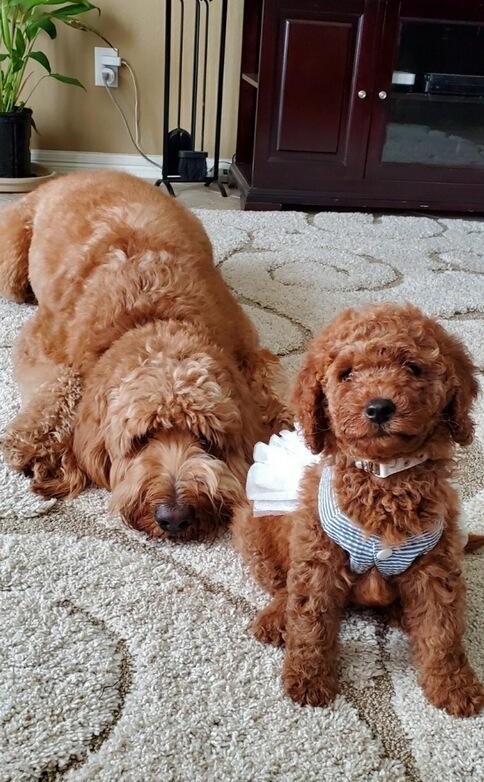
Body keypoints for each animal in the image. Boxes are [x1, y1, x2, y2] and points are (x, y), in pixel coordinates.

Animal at [0, 171, 292, 540]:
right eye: (142, 439)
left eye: (207, 439)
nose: (175, 517)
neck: (156, 314)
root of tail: (69, 176)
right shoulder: (40, 340)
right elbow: (62, 382)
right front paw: (40, 445)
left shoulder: (249, 348)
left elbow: (271, 386)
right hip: (11, 267)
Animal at [233, 304, 482, 720]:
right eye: (346, 374)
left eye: (413, 367)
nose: (379, 407)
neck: (383, 476)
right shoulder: (318, 556)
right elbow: (310, 618)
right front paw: (307, 679)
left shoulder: (435, 565)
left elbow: (441, 629)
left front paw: (453, 685)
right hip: (253, 530)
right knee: (285, 588)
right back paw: (276, 617)